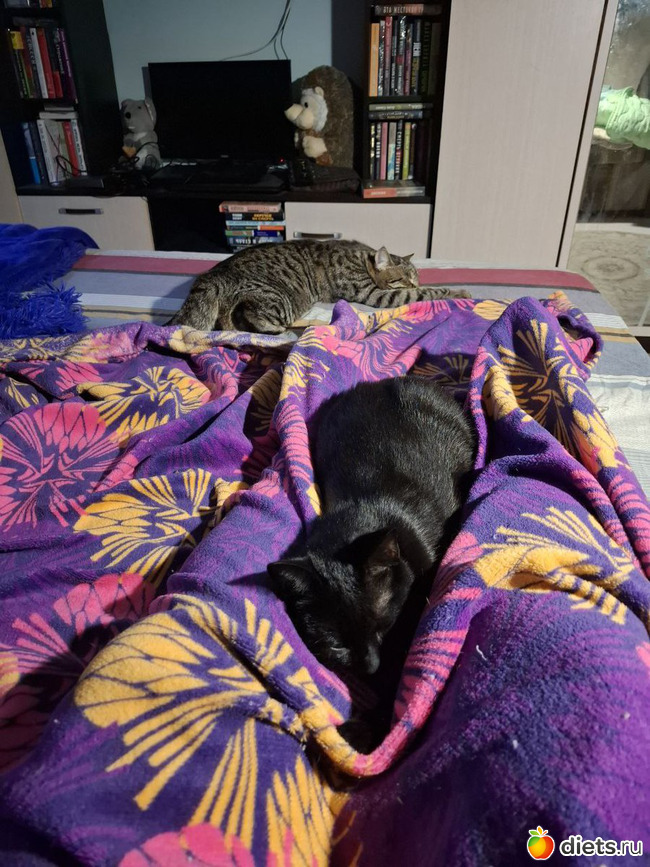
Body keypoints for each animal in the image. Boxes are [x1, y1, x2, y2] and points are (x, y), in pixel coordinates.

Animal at [169, 239, 470, 333]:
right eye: (404, 278)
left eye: (415, 275)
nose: (413, 280)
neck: (363, 258)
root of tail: (212, 275)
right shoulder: (375, 293)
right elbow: (424, 294)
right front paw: (459, 291)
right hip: (280, 299)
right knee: (257, 319)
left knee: (230, 323)